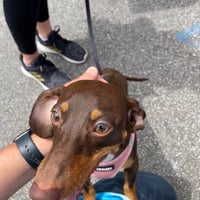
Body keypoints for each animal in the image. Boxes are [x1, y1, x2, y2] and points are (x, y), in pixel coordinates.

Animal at [28, 68, 145, 199]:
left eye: (101, 127)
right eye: (55, 115)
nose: (39, 195)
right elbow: (89, 189)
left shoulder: (133, 165)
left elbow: (128, 187)